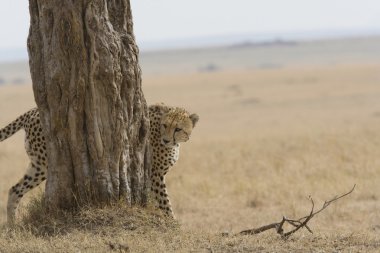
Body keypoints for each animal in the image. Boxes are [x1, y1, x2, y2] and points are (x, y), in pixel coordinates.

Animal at [1, 104, 199, 221]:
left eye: (178, 129)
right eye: (166, 126)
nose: (166, 140)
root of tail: (32, 111)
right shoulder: (155, 175)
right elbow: (165, 202)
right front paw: (173, 225)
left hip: (38, 167)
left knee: (14, 190)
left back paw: (12, 226)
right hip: (51, 161)